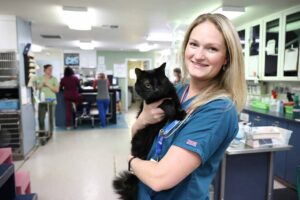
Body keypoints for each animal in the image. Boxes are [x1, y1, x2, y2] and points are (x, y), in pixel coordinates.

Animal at [113, 63, 186, 200]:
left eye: (160, 81)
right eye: (147, 84)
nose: (156, 89)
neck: (160, 96)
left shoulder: (173, 95)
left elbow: (175, 101)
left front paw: (180, 113)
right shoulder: (151, 103)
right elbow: (166, 102)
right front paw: (173, 112)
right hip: (139, 144)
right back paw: (128, 182)